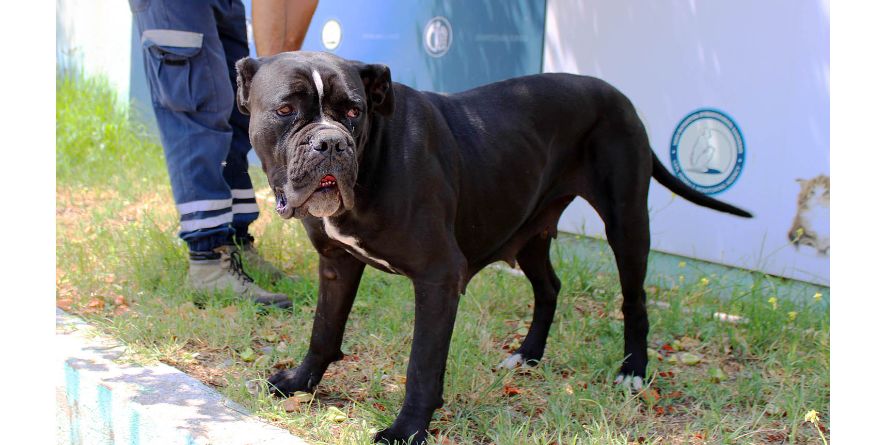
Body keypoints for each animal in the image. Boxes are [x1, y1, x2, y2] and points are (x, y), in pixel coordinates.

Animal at [234, 51, 748, 440]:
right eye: (286, 110)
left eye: (353, 112)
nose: (330, 143)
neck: (374, 153)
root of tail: (619, 97)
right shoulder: (337, 262)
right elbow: (324, 330)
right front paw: (299, 383)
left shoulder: (438, 277)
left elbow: (422, 364)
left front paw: (406, 429)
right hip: (529, 229)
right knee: (549, 287)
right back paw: (528, 355)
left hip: (626, 222)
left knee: (634, 299)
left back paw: (632, 372)